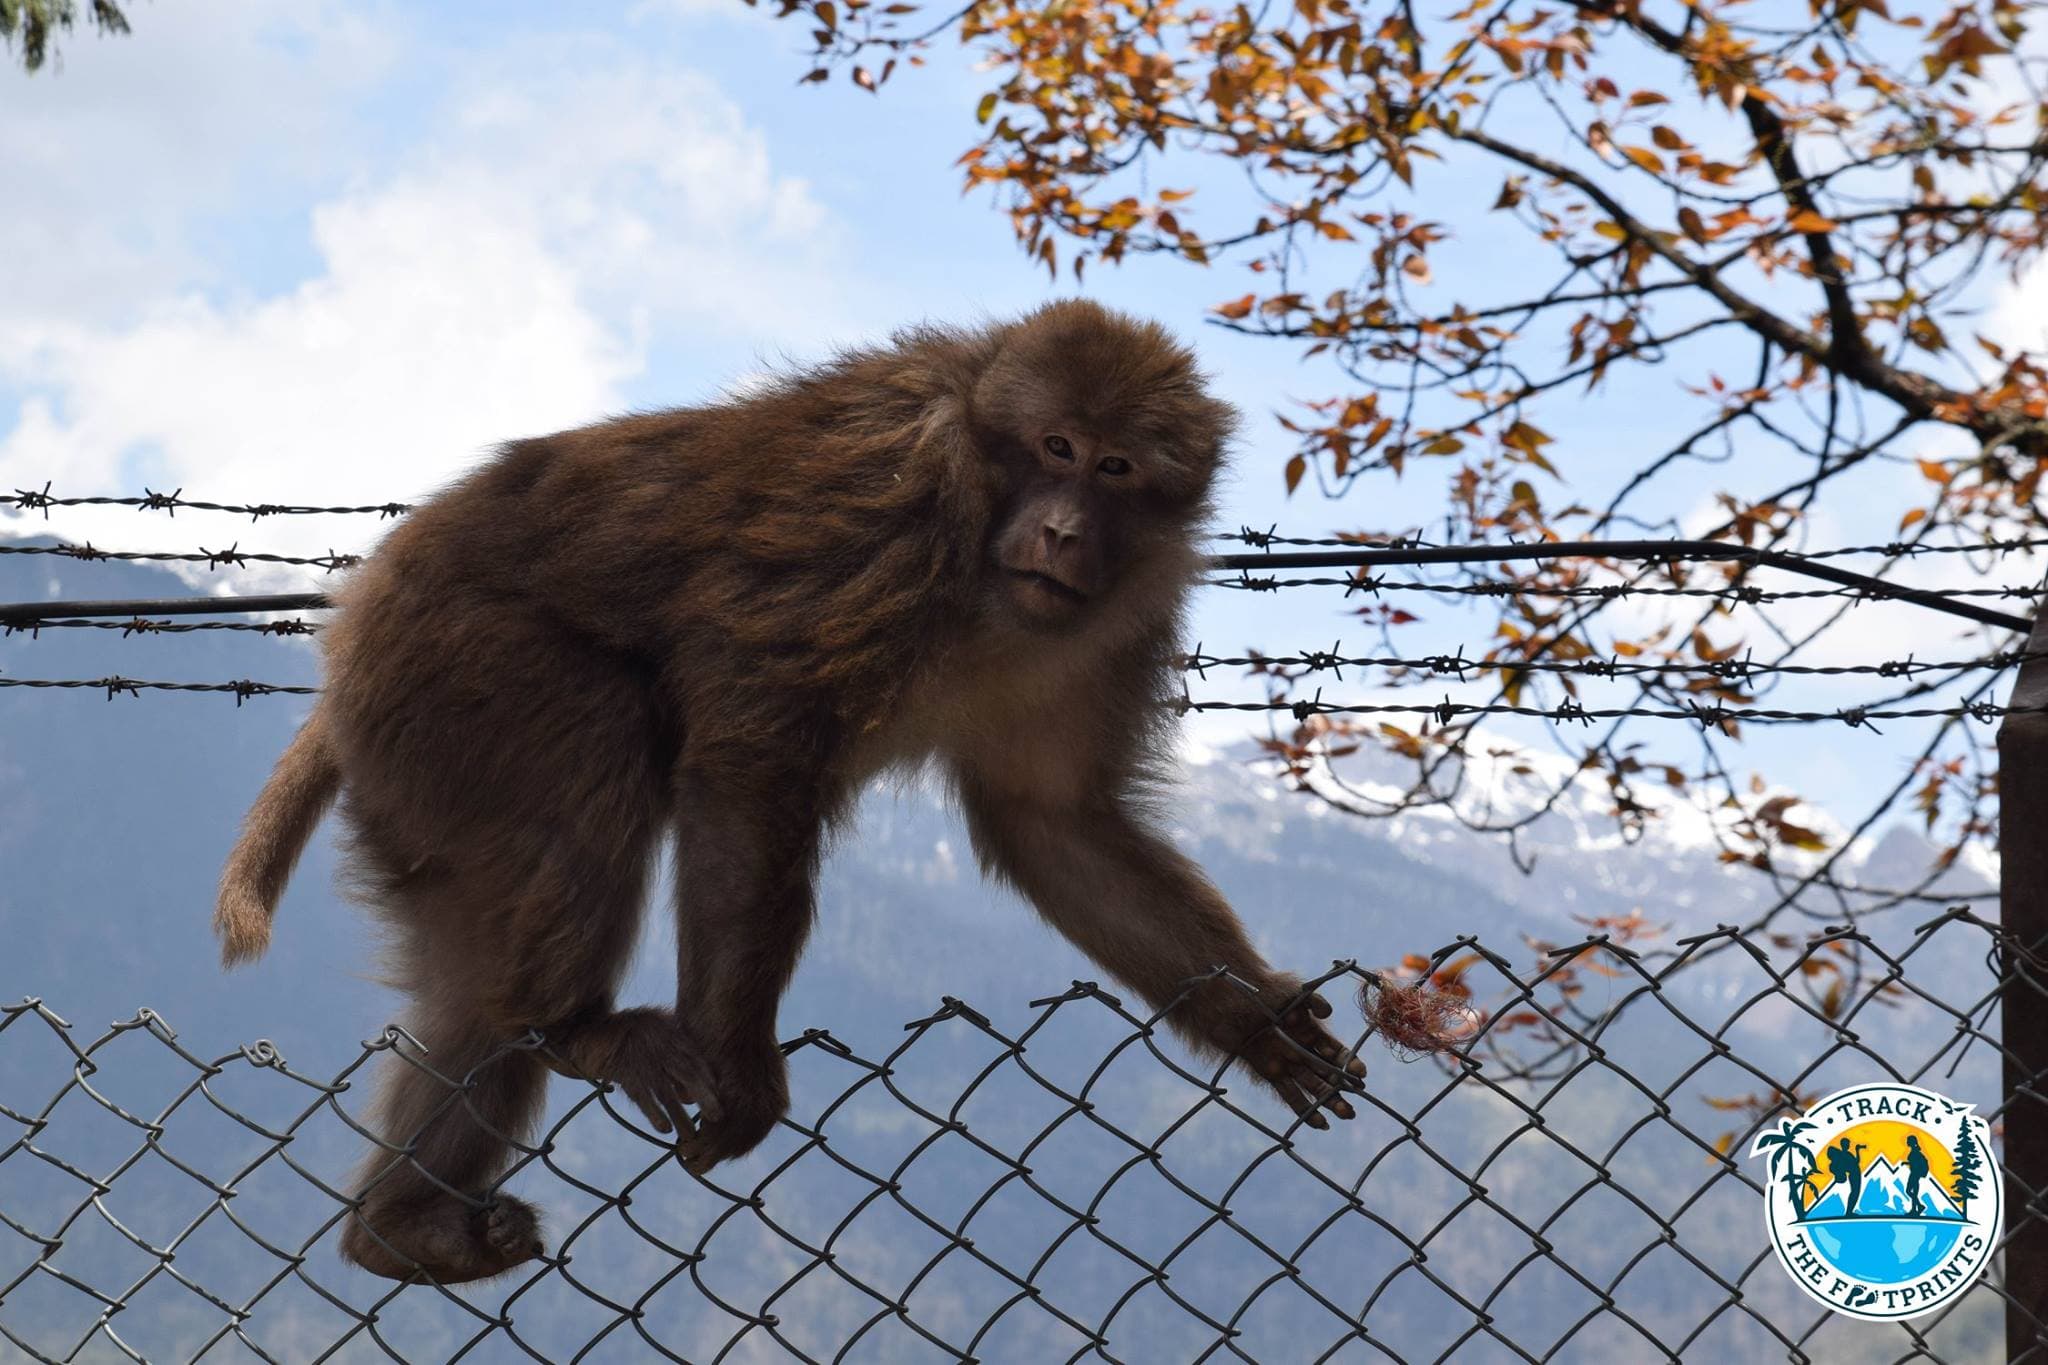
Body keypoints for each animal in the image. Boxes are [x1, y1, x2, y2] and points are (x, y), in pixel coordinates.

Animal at [213, 299, 1368, 1285]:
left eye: (1115, 467)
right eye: (1055, 450)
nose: (1062, 530)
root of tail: (361, 613)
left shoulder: (1111, 624)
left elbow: (1055, 827)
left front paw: (1252, 1016)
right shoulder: (894, 505)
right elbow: (752, 746)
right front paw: (741, 1067)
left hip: (418, 768)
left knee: (466, 985)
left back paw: (402, 1225)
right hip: (458, 669)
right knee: (598, 742)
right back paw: (575, 1027)